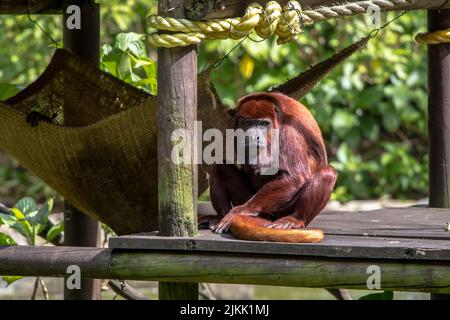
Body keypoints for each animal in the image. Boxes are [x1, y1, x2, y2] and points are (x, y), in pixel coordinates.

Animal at [206, 92, 336, 242]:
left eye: (263, 123)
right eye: (248, 123)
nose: (254, 137)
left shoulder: (290, 129)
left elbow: (295, 177)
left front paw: (241, 211)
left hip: (283, 209)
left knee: (327, 173)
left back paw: (294, 219)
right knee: (221, 168)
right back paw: (220, 216)